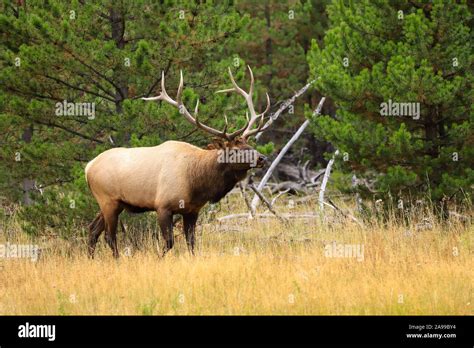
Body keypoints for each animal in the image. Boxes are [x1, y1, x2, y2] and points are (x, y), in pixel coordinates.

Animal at [85, 66, 270, 258]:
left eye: (249, 144)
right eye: (235, 150)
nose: (262, 158)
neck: (198, 184)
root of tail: (88, 167)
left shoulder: (192, 210)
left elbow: (191, 242)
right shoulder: (162, 206)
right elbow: (169, 242)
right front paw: (158, 259)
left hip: (114, 203)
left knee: (93, 230)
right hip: (107, 200)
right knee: (109, 236)